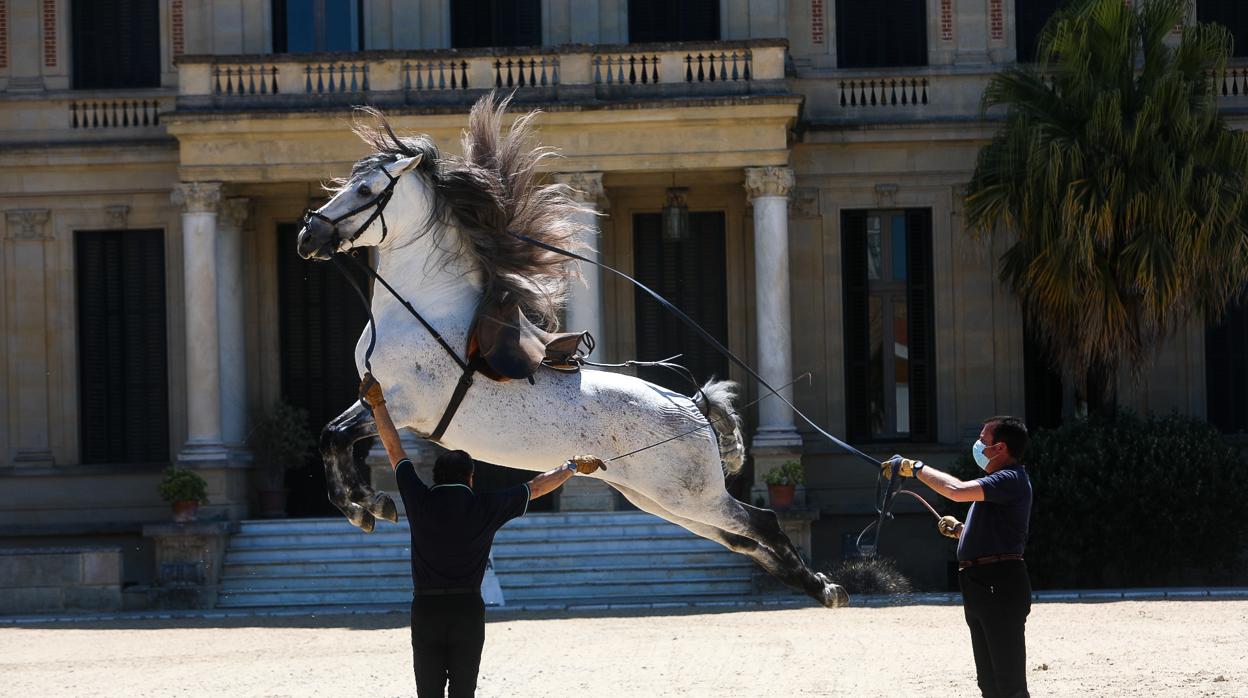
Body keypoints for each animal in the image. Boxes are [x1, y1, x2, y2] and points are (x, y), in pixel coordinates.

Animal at [295, 95, 843, 609]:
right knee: (740, 539)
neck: (423, 309)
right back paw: (816, 585)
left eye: (366, 190)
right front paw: (366, 505)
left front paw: (366, 505)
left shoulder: (407, 406)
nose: (309, 235)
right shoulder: (376, 398)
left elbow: (333, 436)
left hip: (690, 493)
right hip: (662, 499)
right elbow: (331, 436)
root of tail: (691, 405)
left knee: (763, 522)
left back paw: (826, 588)